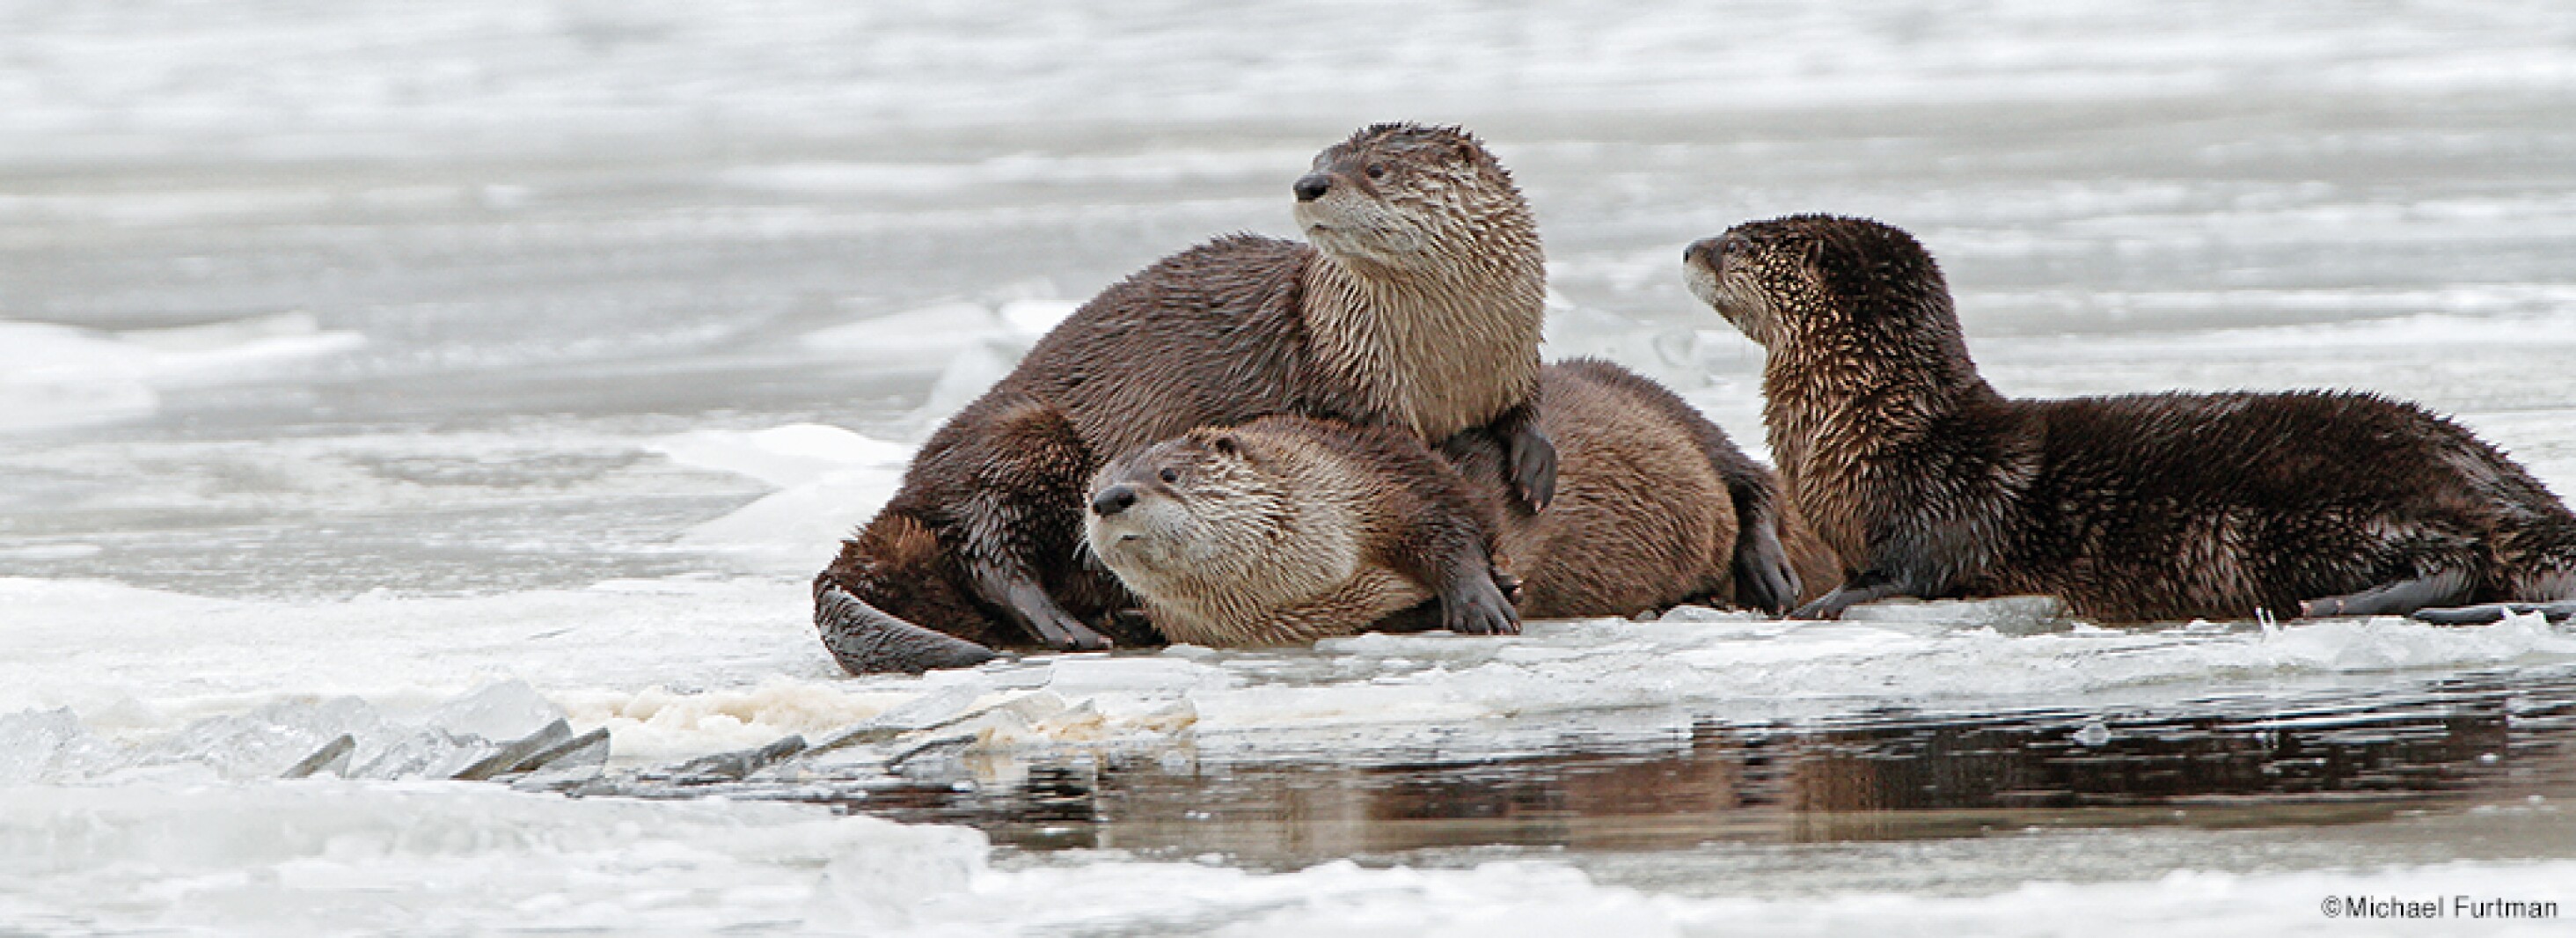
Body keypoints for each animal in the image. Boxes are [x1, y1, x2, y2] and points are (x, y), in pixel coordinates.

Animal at [815, 123, 1705, 674]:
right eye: (1321, 156)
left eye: (1374, 168)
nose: (1310, 183)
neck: (1446, 361)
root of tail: (903, 493)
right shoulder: (1348, 393)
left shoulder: (1512, 358)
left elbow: (1523, 411)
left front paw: (1534, 460)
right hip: (1022, 433)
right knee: (984, 539)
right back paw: (1063, 622)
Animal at [1079, 360, 1841, 646]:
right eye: (1090, 491)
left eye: (1169, 472)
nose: (1112, 498)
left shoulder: (1385, 474)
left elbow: (1450, 524)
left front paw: (1483, 601)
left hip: (1669, 407)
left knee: (1749, 477)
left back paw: (1768, 574)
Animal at [1684, 213, 2576, 623]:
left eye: (1742, 243)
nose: (1690, 248)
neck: (1873, 428)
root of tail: (2502, 487)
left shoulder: (1935, 509)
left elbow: (1905, 571)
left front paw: (1804, 606)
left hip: (2323, 513)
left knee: (2458, 558)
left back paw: (2336, 604)